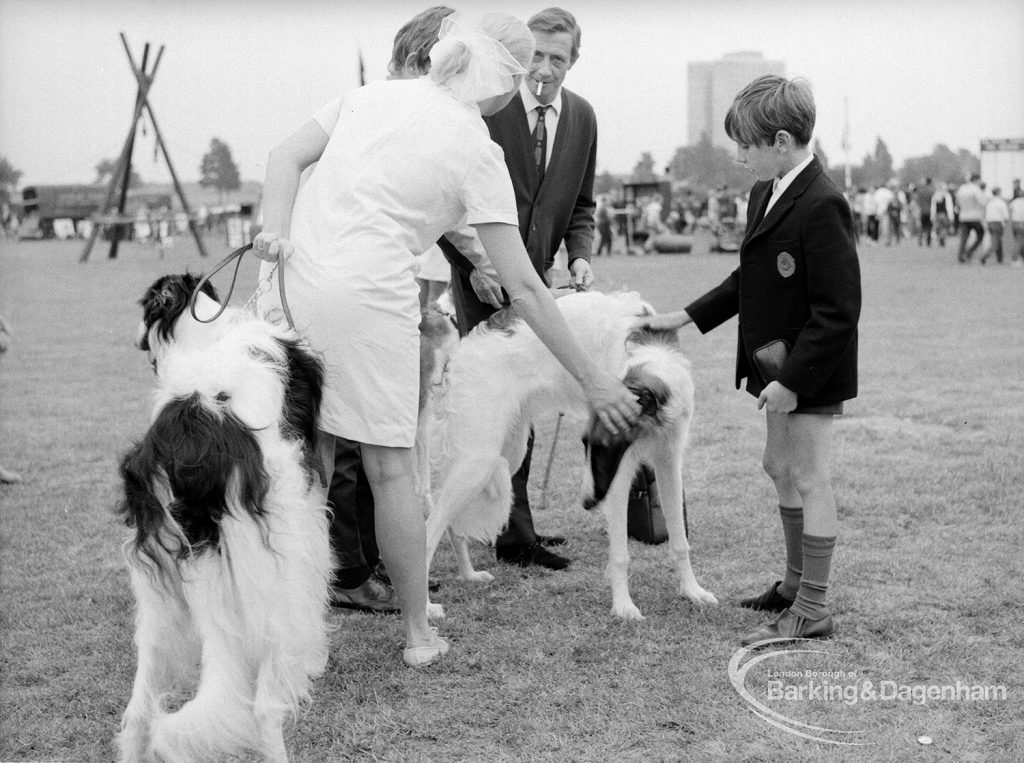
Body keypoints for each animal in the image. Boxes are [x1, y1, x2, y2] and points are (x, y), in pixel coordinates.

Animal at [117, 274, 329, 761]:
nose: (132, 335)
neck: (213, 333)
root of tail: (189, 432)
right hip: (269, 566)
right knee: (264, 706)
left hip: (158, 585)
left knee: (139, 706)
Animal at [423, 290, 720, 618]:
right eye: (587, 444)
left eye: (603, 446)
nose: (587, 503)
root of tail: (462, 350)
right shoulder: (620, 474)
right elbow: (620, 555)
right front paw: (624, 607)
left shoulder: (668, 459)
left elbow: (680, 541)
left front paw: (692, 591)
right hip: (479, 459)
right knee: (429, 528)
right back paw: (425, 607)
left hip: (507, 453)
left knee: (451, 524)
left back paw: (468, 574)